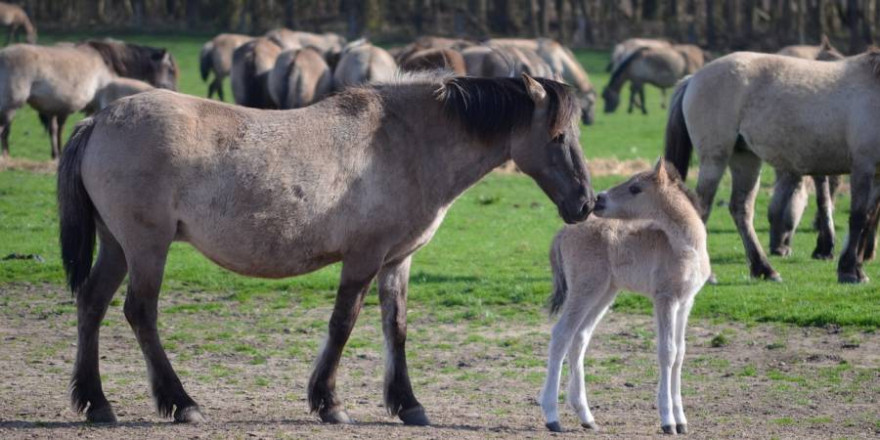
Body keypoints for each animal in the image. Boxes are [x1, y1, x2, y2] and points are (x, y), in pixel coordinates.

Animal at [58, 73, 596, 426]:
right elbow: (343, 325)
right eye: (557, 136)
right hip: (146, 247)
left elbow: (396, 328)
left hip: (118, 247)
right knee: (140, 312)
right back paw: (181, 403)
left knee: (92, 304)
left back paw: (97, 404)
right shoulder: (363, 259)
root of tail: (98, 121)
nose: (585, 203)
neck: (406, 141)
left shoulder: (397, 261)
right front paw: (329, 403)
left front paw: (408, 404)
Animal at [540, 160, 712, 434]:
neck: (685, 246)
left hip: (604, 292)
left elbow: (680, 353)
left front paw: (682, 420)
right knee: (561, 334)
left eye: (635, 188)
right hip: (585, 288)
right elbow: (667, 352)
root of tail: (563, 232)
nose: (598, 200)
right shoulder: (665, 298)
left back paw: (586, 417)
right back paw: (552, 416)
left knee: (579, 337)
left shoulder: (686, 302)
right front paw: (668, 421)